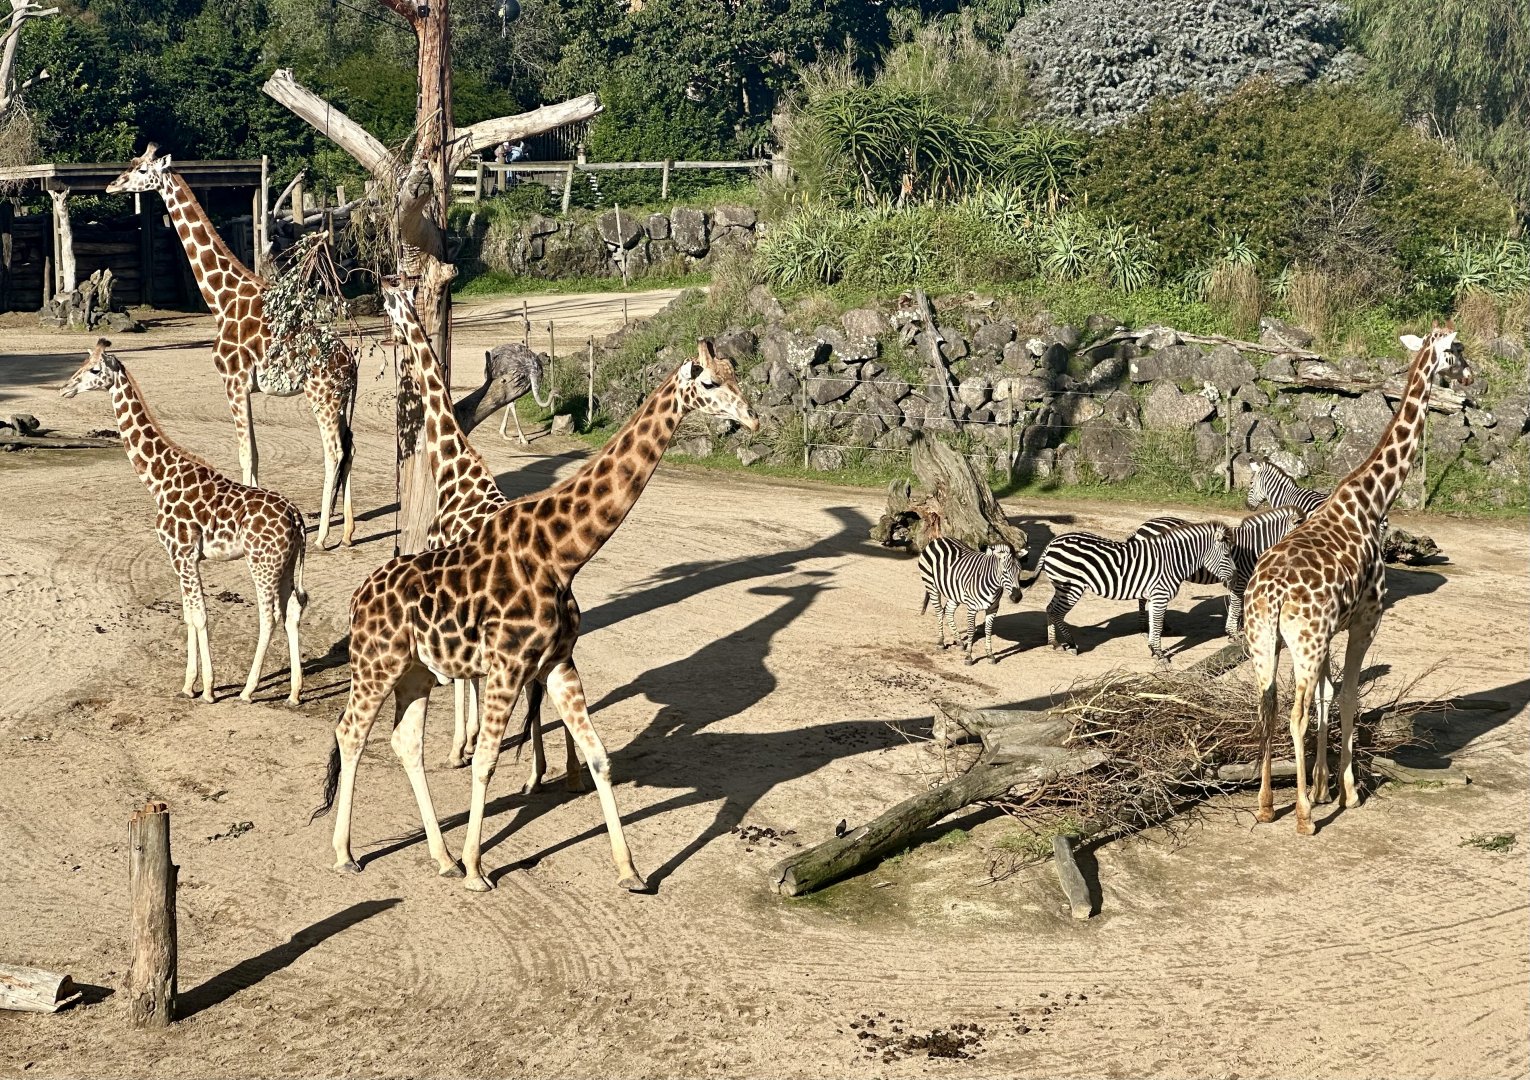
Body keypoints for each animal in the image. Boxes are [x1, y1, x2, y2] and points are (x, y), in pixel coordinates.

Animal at [60, 339, 308, 704]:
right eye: (81, 363)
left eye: (94, 369)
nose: (65, 388)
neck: (158, 481)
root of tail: (297, 517)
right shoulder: (180, 557)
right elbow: (189, 615)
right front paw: (189, 684)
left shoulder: (183, 553)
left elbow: (201, 615)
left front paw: (208, 689)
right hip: (287, 563)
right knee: (292, 610)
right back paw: (294, 692)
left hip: (262, 562)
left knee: (270, 615)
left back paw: (248, 690)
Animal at [105, 145, 357, 549]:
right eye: (131, 165)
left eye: (142, 170)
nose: (113, 185)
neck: (221, 300)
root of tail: (352, 362)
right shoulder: (245, 386)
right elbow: (251, 452)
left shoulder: (233, 381)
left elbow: (246, 454)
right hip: (343, 398)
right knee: (349, 447)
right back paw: (348, 532)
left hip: (322, 395)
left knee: (333, 450)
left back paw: (322, 537)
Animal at [312, 339, 758, 892]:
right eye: (711, 383)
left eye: (736, 373)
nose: (753, 418)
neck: (561, 553)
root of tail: (358, 598)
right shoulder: (507, 666)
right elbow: (485, 761)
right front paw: (478, 869)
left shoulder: (558, 663)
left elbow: (599, 757)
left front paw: (630, 870)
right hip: (377, 665)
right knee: (351, 734)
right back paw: (346, 853)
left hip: (414, 672)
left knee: (405, 742)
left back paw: (441, 857)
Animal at [379, 275, 579, 790]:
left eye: (390, 303)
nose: (389, 328)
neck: (454, 471)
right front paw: (466, 743)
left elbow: (462, 677)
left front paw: (458, 748)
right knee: (547, 682)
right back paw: (563, 772)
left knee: (532, 686)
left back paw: (540, 771)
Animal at [1243, 326, 1472, 835]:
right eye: (1457, 350)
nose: (1472, 377)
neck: (1374, 499)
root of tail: (1270, 594)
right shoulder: (1367, 620)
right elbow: (1346, 698)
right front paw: (1345, 792)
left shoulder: (1332, 631)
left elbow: (1328, 698)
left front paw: (1323, 785)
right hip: (1303, 642)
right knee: (1292, 715)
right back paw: (1303, 817)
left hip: (1264, 641)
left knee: (1268, 706)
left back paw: (1267, 805)